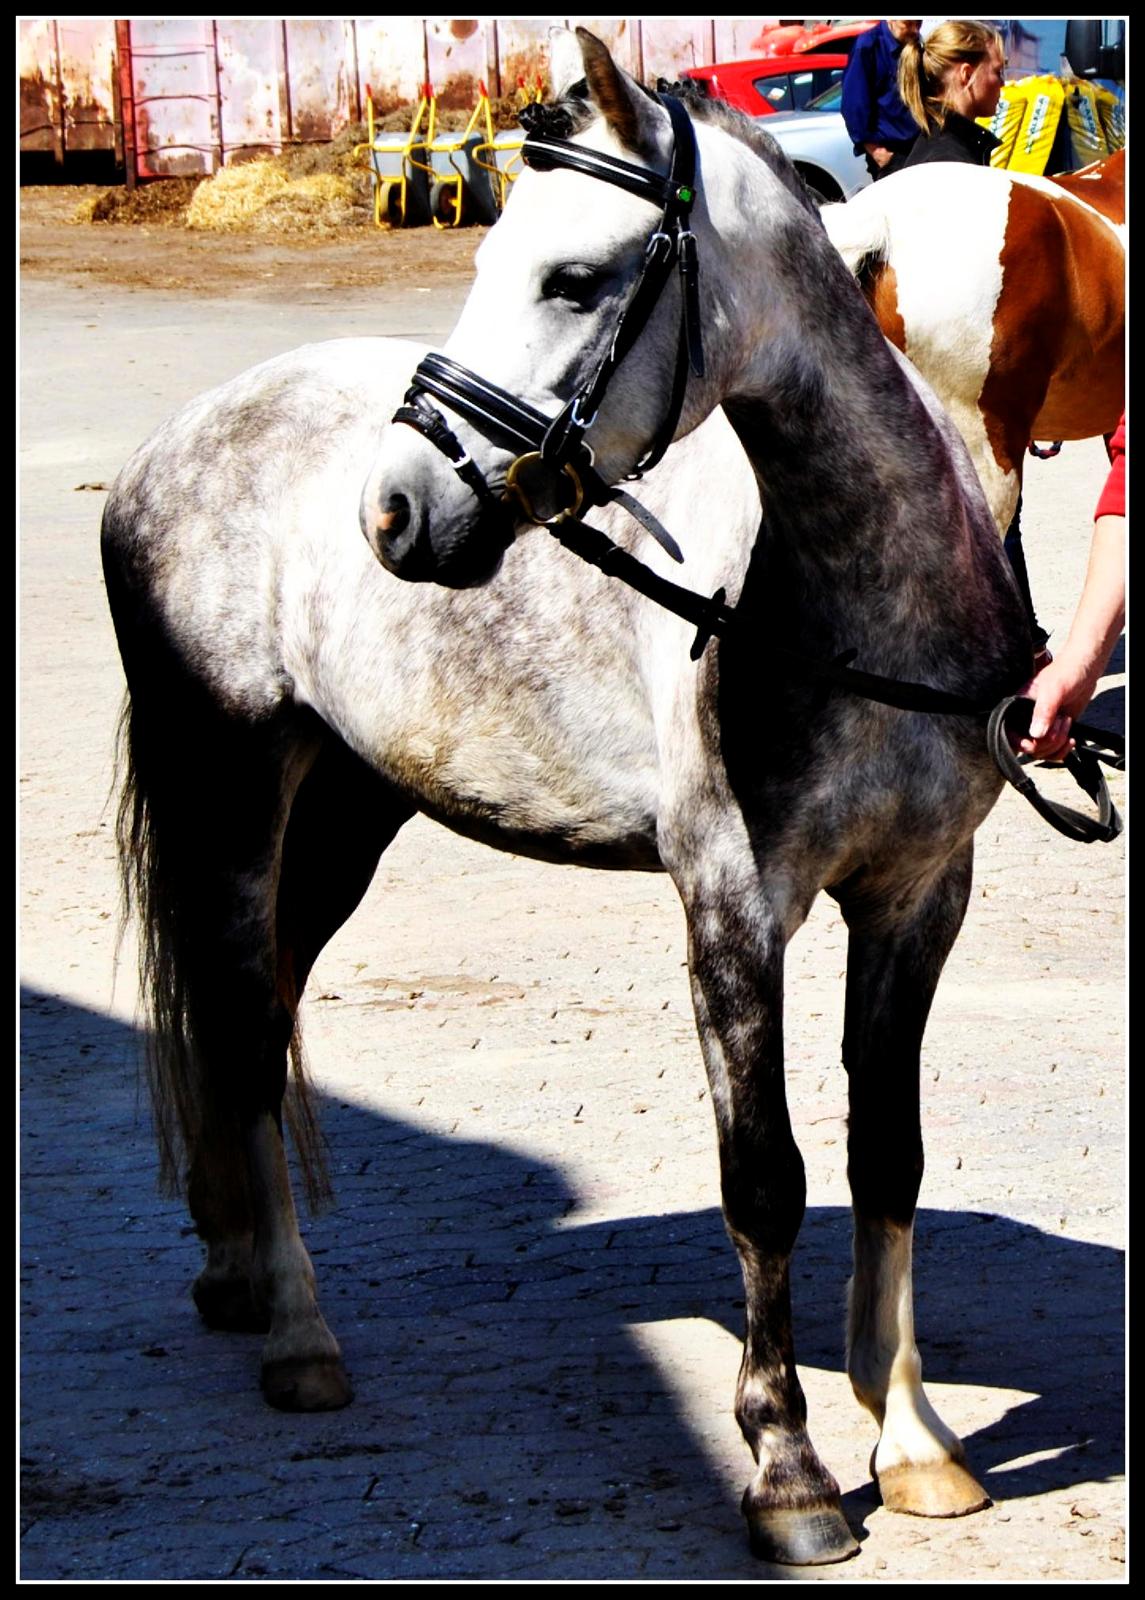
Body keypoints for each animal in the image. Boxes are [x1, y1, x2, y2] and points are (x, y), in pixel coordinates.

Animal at [105, 27, 1036, 1568]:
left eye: (576, 277)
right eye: (490, 253)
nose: (397, 510)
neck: (858, 602)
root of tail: (169, 445)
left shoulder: (918, 900)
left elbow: (886, 1154)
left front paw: (910, 1439)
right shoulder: (732, 907)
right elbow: (764, 1177)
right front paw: (788, 1470)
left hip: (344, 813)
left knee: (266, 1007)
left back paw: (237, 1266)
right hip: (226, 788)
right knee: (236, 1023)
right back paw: (296, 1332)